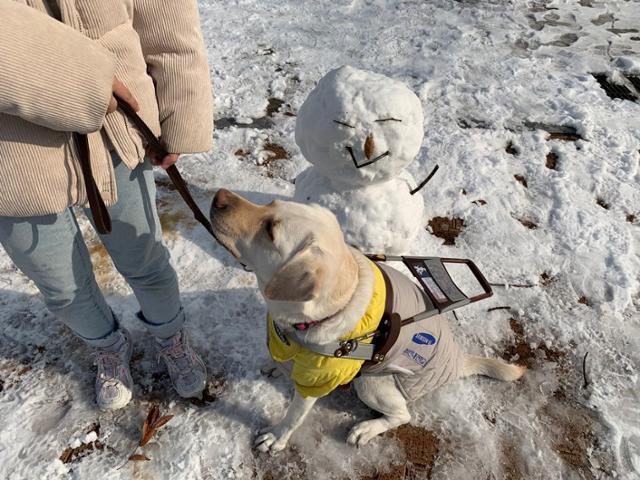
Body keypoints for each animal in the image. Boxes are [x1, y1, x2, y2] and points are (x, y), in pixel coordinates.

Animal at [210, 188, 524, 454]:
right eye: (270, 204)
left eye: (271, 230)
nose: (219, 195)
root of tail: (459, 361)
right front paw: (275, 365)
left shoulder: (320, 380)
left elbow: (294, 416)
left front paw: (276, 437)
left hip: (373, 384)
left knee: (402, 414)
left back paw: (366, 429)